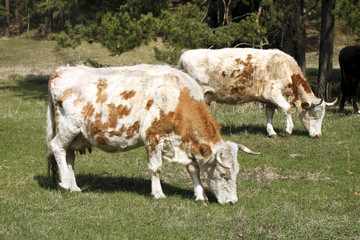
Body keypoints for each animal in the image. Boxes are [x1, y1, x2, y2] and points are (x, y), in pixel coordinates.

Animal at [46, 63, 258, 204]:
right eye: (223, 173)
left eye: (237, 172)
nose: (233, 201)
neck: (178, 96)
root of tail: (62, 70)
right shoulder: (153, 137)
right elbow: (156, 168)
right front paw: (158, 193)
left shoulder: (185, 143)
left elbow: (193, 168)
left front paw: (200, 195)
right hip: (68, 127)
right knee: (57, 147)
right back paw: (65, 184)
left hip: (77, 136)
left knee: (69, 156)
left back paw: (74, 187)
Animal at [180, 47, 338, 138]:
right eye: (315, 114)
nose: (318, 135)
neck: (286, 69)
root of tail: (184, 55)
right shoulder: (273, 93)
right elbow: (287, 109)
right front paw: (288, 131)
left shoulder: (268, 100)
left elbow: (269, 115)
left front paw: (272, 132)